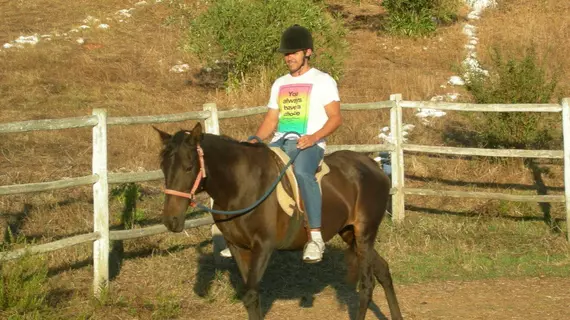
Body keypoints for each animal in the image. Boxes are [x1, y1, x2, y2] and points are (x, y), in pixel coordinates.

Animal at [154, 123, 400, 320]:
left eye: (188, 167)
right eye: (163, 167)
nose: (171, 220)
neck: (241, 186)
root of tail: (374, 166)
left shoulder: (263, 247)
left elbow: (251, 295)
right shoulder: (237, 247)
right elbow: (251, 297)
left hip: (365, 233)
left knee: (367, 285)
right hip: (350, 234)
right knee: (383, 269)